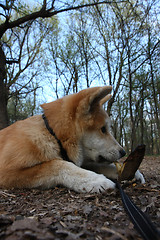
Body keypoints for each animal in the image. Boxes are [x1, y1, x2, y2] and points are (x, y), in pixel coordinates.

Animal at [0, 86, 145, 193]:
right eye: (103, 129)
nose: (123, 152)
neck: (53, 135)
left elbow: (99, 165)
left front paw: (132, 173)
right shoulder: (6, 172)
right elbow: (57, 164)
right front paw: (95, 180)